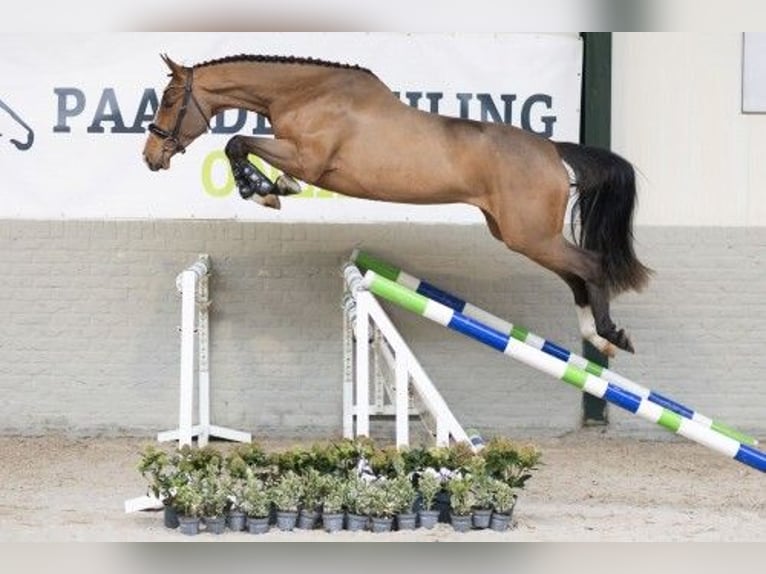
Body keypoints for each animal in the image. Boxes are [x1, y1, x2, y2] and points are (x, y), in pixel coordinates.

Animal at [141, 55, 652, 360]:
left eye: (169, 100)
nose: (151, 157)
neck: (307, 94)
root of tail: (552, 149)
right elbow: (245, 147)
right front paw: (274, 187)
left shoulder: (308, 158)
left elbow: (237, 142)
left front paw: (262, 189)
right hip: (517, 234)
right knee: (575, 275)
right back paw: (596, 337)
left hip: (529, 235)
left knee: (590, 264)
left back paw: (610, 333)